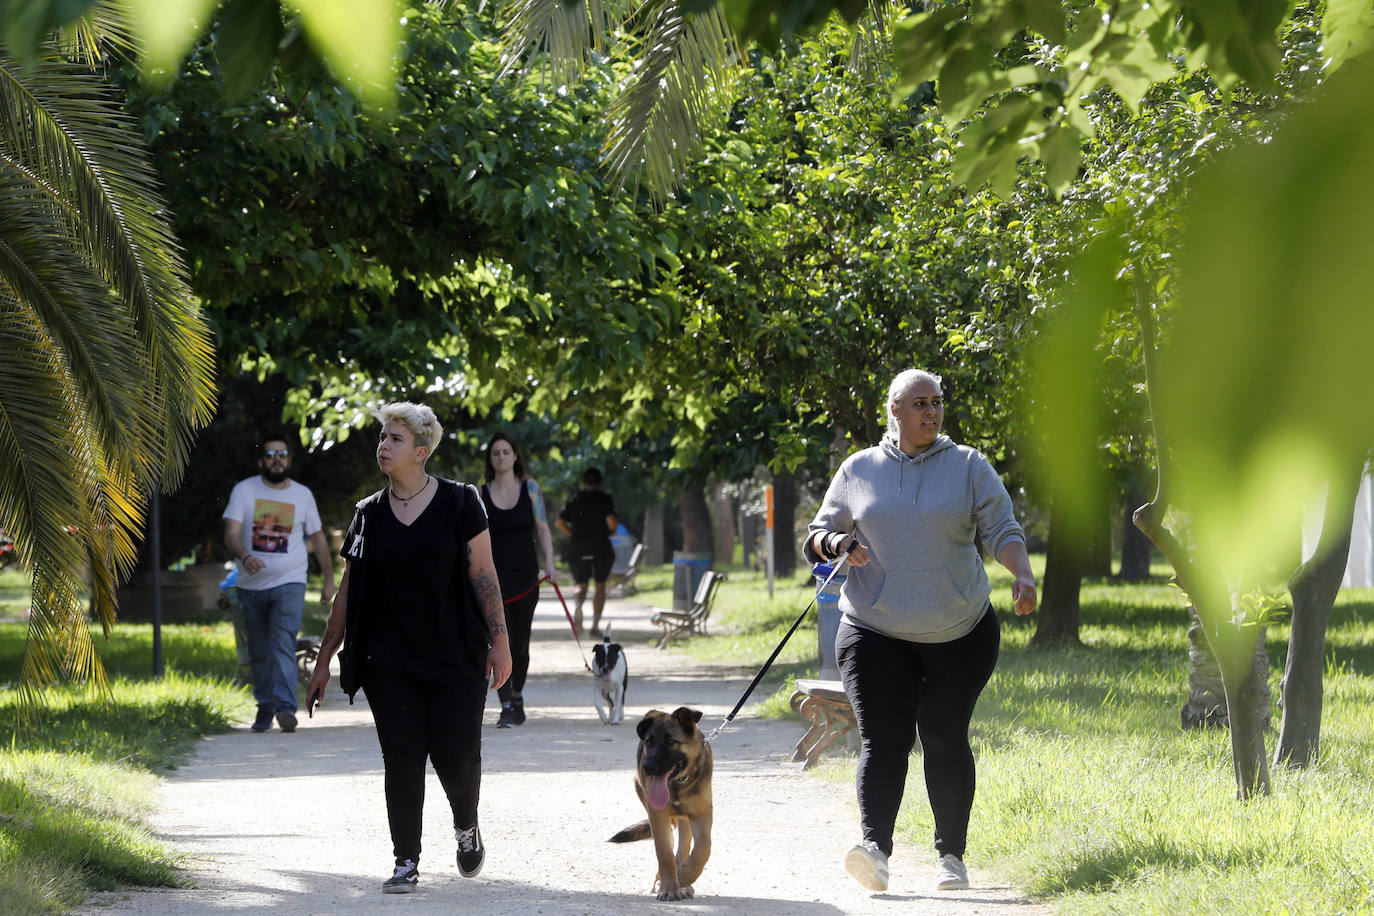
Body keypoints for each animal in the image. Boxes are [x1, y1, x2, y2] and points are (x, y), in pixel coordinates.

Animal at [612, 708, 719, 895]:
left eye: (671, 741)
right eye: (649, 741)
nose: (648, 767)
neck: (678, 784)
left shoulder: (702, 814)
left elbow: (703, 847)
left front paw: (686, 876)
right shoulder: (657, 816)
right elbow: (664, 853)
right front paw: (669, 888)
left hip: (685, 818)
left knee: (684, 845)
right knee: (670, 842)